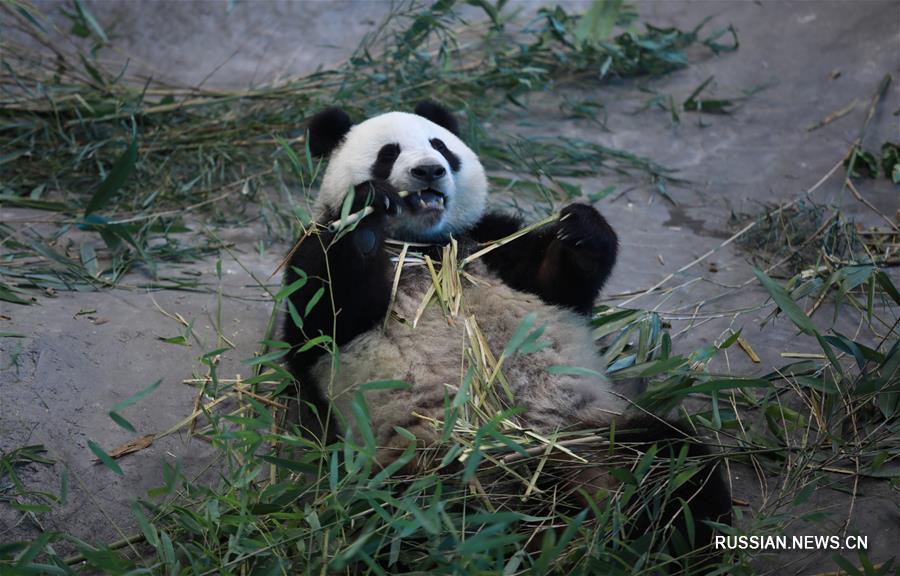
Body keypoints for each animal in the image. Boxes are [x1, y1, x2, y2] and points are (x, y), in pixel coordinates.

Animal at [282, 101, 732, 556]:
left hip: (592, 435)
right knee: (400, 526)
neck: (425, 245)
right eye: (388, 153)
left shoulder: (490, 241)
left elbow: (558, 283)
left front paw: (580, 228)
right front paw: (367, 211)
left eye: (440, 146)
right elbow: (323, 315)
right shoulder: (315, 266)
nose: (429, 171)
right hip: (415, 470)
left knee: (676, 468)